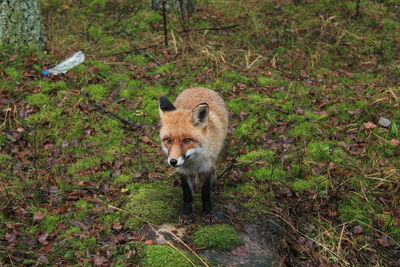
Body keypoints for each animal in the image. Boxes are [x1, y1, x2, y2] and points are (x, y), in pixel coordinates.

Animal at [159, 87, 228, 224]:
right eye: (168, 140)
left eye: (186, 141)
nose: (173, 161)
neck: (193, 162)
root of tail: (198, 87)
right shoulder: (183, 171)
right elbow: (187, 196)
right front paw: (187, 213)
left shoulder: (206, 168)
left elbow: (205, 195)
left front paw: (207, 213)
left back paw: (214, 185)